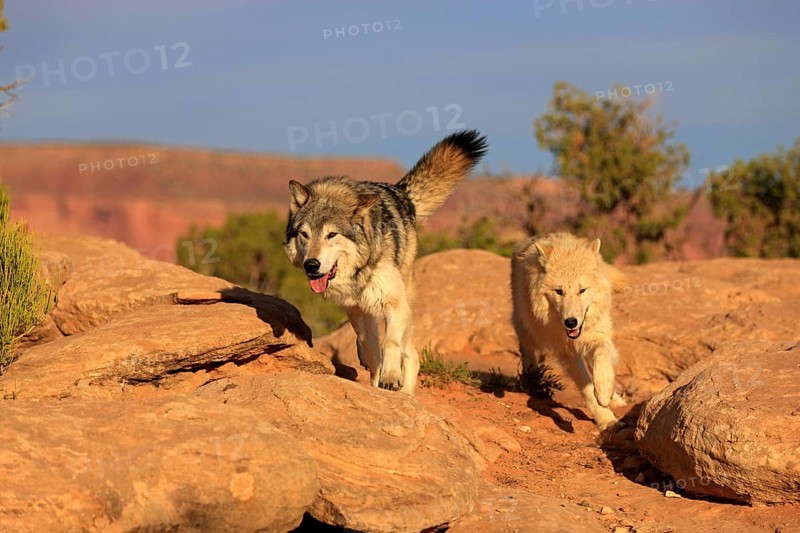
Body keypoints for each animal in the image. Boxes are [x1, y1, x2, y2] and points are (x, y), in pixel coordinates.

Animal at [284, 130, 487, 394]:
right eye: (304, 234)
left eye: (331, 235)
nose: (312, 265)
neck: (359, 271)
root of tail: (401, 191)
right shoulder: (356, 311)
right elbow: (371, 350)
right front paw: (377, 379)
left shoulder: (395, 304)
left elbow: (390, 342)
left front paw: (391, 377)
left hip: (406, 304)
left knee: (411, 354)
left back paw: (407, 394)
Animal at [511, 232, 627, 430]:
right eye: (559, 291)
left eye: (582, 290)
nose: (571, 322)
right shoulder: (567, 352)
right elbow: (586, 387)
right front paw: (606, 419)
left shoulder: (599, 337)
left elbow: (602, 360)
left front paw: (605, 393)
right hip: (524, 327)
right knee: (528, 352)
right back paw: (530, 378)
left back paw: (615, 399)